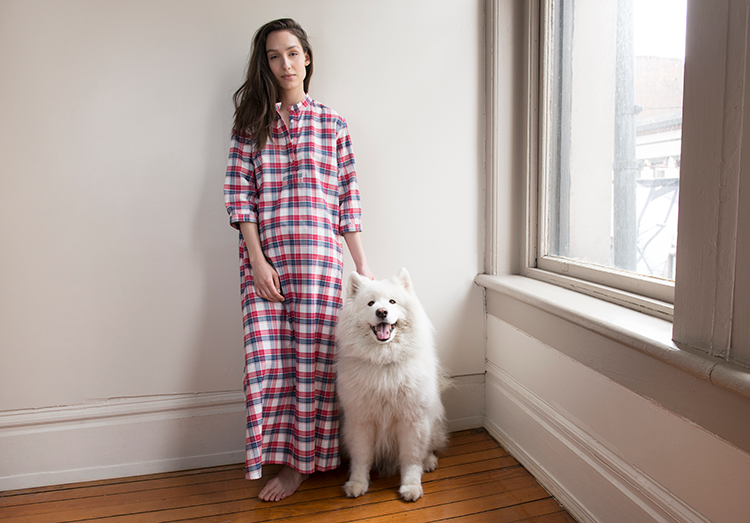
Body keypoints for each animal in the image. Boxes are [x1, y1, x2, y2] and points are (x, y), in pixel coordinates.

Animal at [338, 268, 450, 502]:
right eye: (370, 303)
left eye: (392, 301)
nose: (382, 312)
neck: (384, 362)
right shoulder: (361, 421)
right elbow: (361, 457)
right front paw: (357, 483)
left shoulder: (412, 420)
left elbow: (411, 458)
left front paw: (411, 486)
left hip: (431, 424)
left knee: (429, 447)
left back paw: (429, 461)